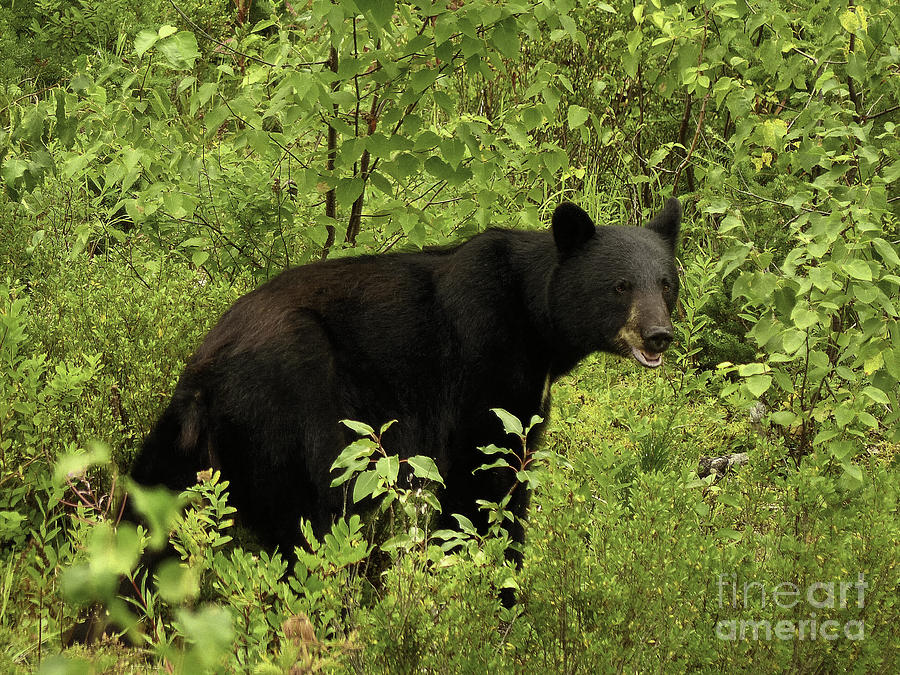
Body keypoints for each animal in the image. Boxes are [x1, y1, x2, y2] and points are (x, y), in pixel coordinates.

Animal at [130, 198, 684, 564]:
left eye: (665, 282)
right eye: (619, 286)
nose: (659, 335)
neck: (537, 323)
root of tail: (200, 370)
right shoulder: (483, 367)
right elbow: (482, 475)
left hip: (197, 445)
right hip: (291, 409)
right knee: (311, 518)